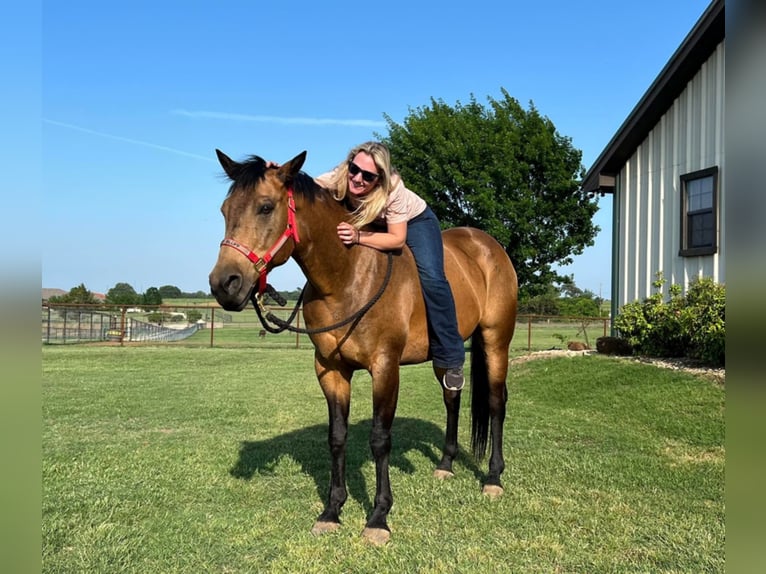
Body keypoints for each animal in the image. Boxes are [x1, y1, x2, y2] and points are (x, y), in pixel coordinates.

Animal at [210, 151, 520, 548]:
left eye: (265, 207)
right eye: (224, 209)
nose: (224, 284)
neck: (348, 276)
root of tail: (487, 245)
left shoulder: (384, 368)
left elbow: (379, 439)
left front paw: (378, 517)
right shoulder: (330, 369)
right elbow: (337, 437)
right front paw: (332, 511)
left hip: (496, 341)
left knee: (496, 403)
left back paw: (493, 478)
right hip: (446, 354)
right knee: (452, 397)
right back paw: (445, 465)